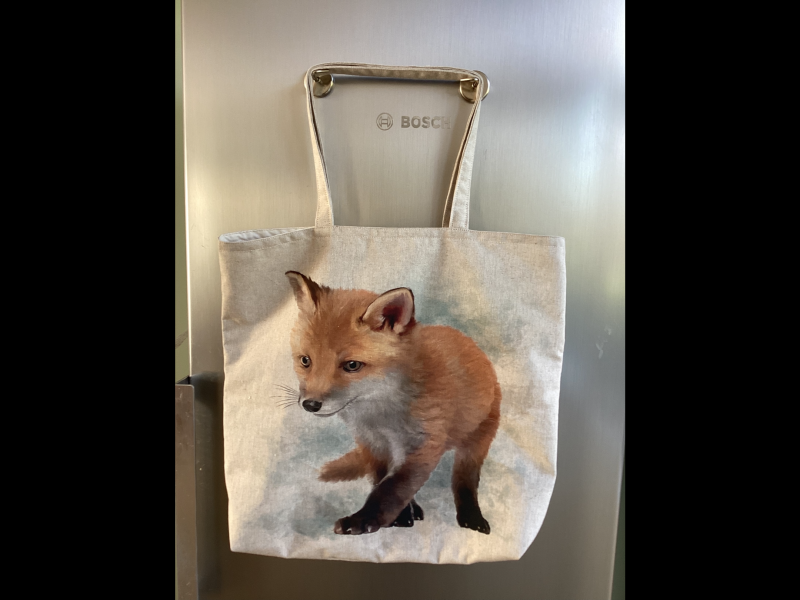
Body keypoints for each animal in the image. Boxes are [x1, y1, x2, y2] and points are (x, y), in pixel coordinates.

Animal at [285, 271, 501, 536]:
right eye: (305, 361)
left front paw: (362, 521)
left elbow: (391, 490)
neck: (380, 416)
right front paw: (402, 516)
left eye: (352, 365)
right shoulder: (372, 444)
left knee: (465, 481)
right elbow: (381, 480)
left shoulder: (425, 445)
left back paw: (471, 516)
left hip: (477, 440)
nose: (310, 404)